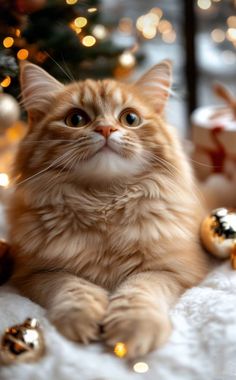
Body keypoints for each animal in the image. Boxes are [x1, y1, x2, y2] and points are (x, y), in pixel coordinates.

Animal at [7, 60, 210, 358]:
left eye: (130, 119)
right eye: (76, 120)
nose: (105, 129)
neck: (103, 202)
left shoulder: (175, 269)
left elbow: (139, 290)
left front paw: (134, 328)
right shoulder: (33, 274)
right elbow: (71, 287)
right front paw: (84, 315)